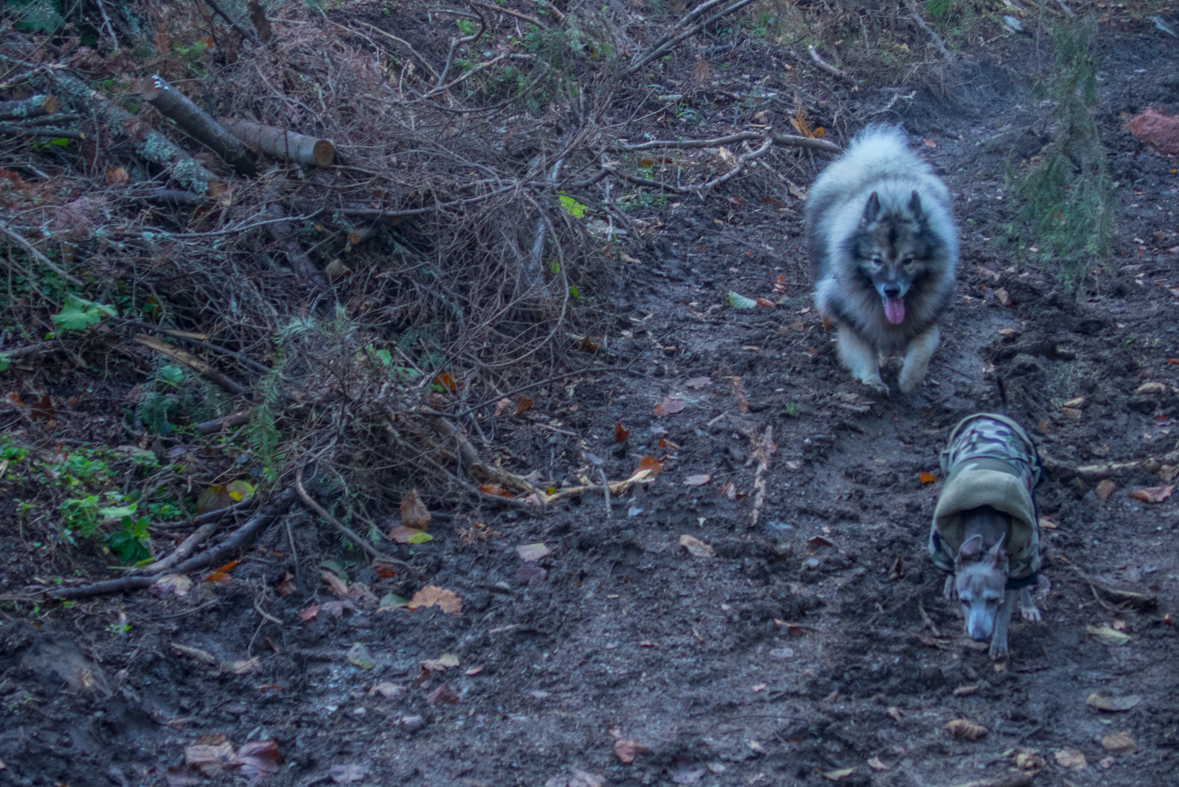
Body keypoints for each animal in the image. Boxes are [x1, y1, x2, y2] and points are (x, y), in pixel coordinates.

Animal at [806, 125, 962, 395]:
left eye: (908, 261)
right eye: (876, 260)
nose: (891, 290)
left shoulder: (927, 317)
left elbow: (921, 349)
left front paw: (909, 379)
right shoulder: (849, 312)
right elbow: (863, 348)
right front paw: (871, 380)